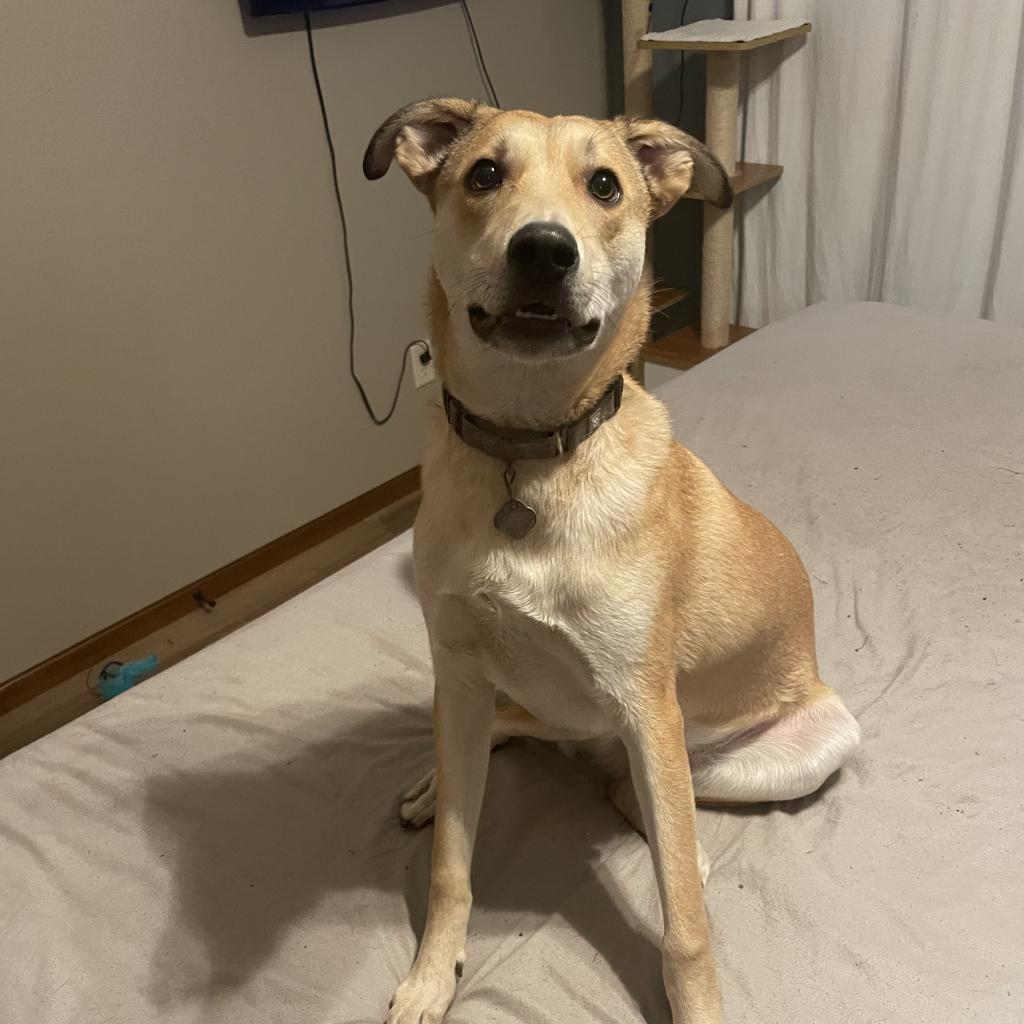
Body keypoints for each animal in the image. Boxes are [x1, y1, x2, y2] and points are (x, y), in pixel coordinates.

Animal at [364, 97, 860, 1024]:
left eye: (604, 185)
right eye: (484, 173)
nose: (543, 250)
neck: (528, 456)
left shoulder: (644, 704)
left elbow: (684, 928)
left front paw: (696, 1004)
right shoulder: (460, 668)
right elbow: (452, 865)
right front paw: (431, 975)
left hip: (790, 743)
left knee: (644, 802)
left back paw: (686, 850)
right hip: (538, 701)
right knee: (512, 734)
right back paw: (433, 785)